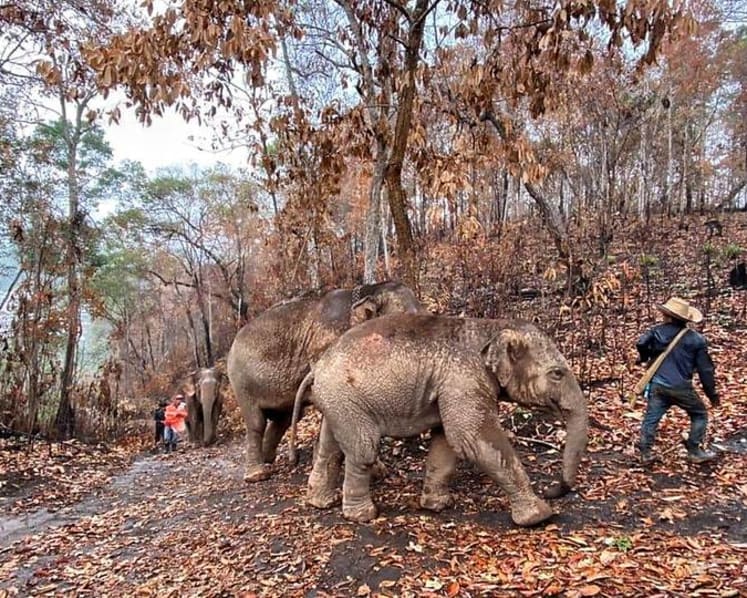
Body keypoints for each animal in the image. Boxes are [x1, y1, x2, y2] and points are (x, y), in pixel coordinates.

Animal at [226, 281, 423, 482]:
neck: (368, 292)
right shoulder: (325, 346)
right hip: (240, 381)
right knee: (256, 422)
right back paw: (258, 474)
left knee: (284, 418)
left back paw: (271, 459)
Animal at [292, 313, 588, 527]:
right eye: (557, 373)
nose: (553, 489)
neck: (490, 327)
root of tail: (316, 368)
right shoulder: (464, 380)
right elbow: (472, 439)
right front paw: (540, 516)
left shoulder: (452, 388)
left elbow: (446, 441)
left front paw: (437, 505)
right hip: (347, 399)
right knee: (362, 451)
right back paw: (363, 516)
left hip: (336, 402)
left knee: (329, 447)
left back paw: (321, 502)